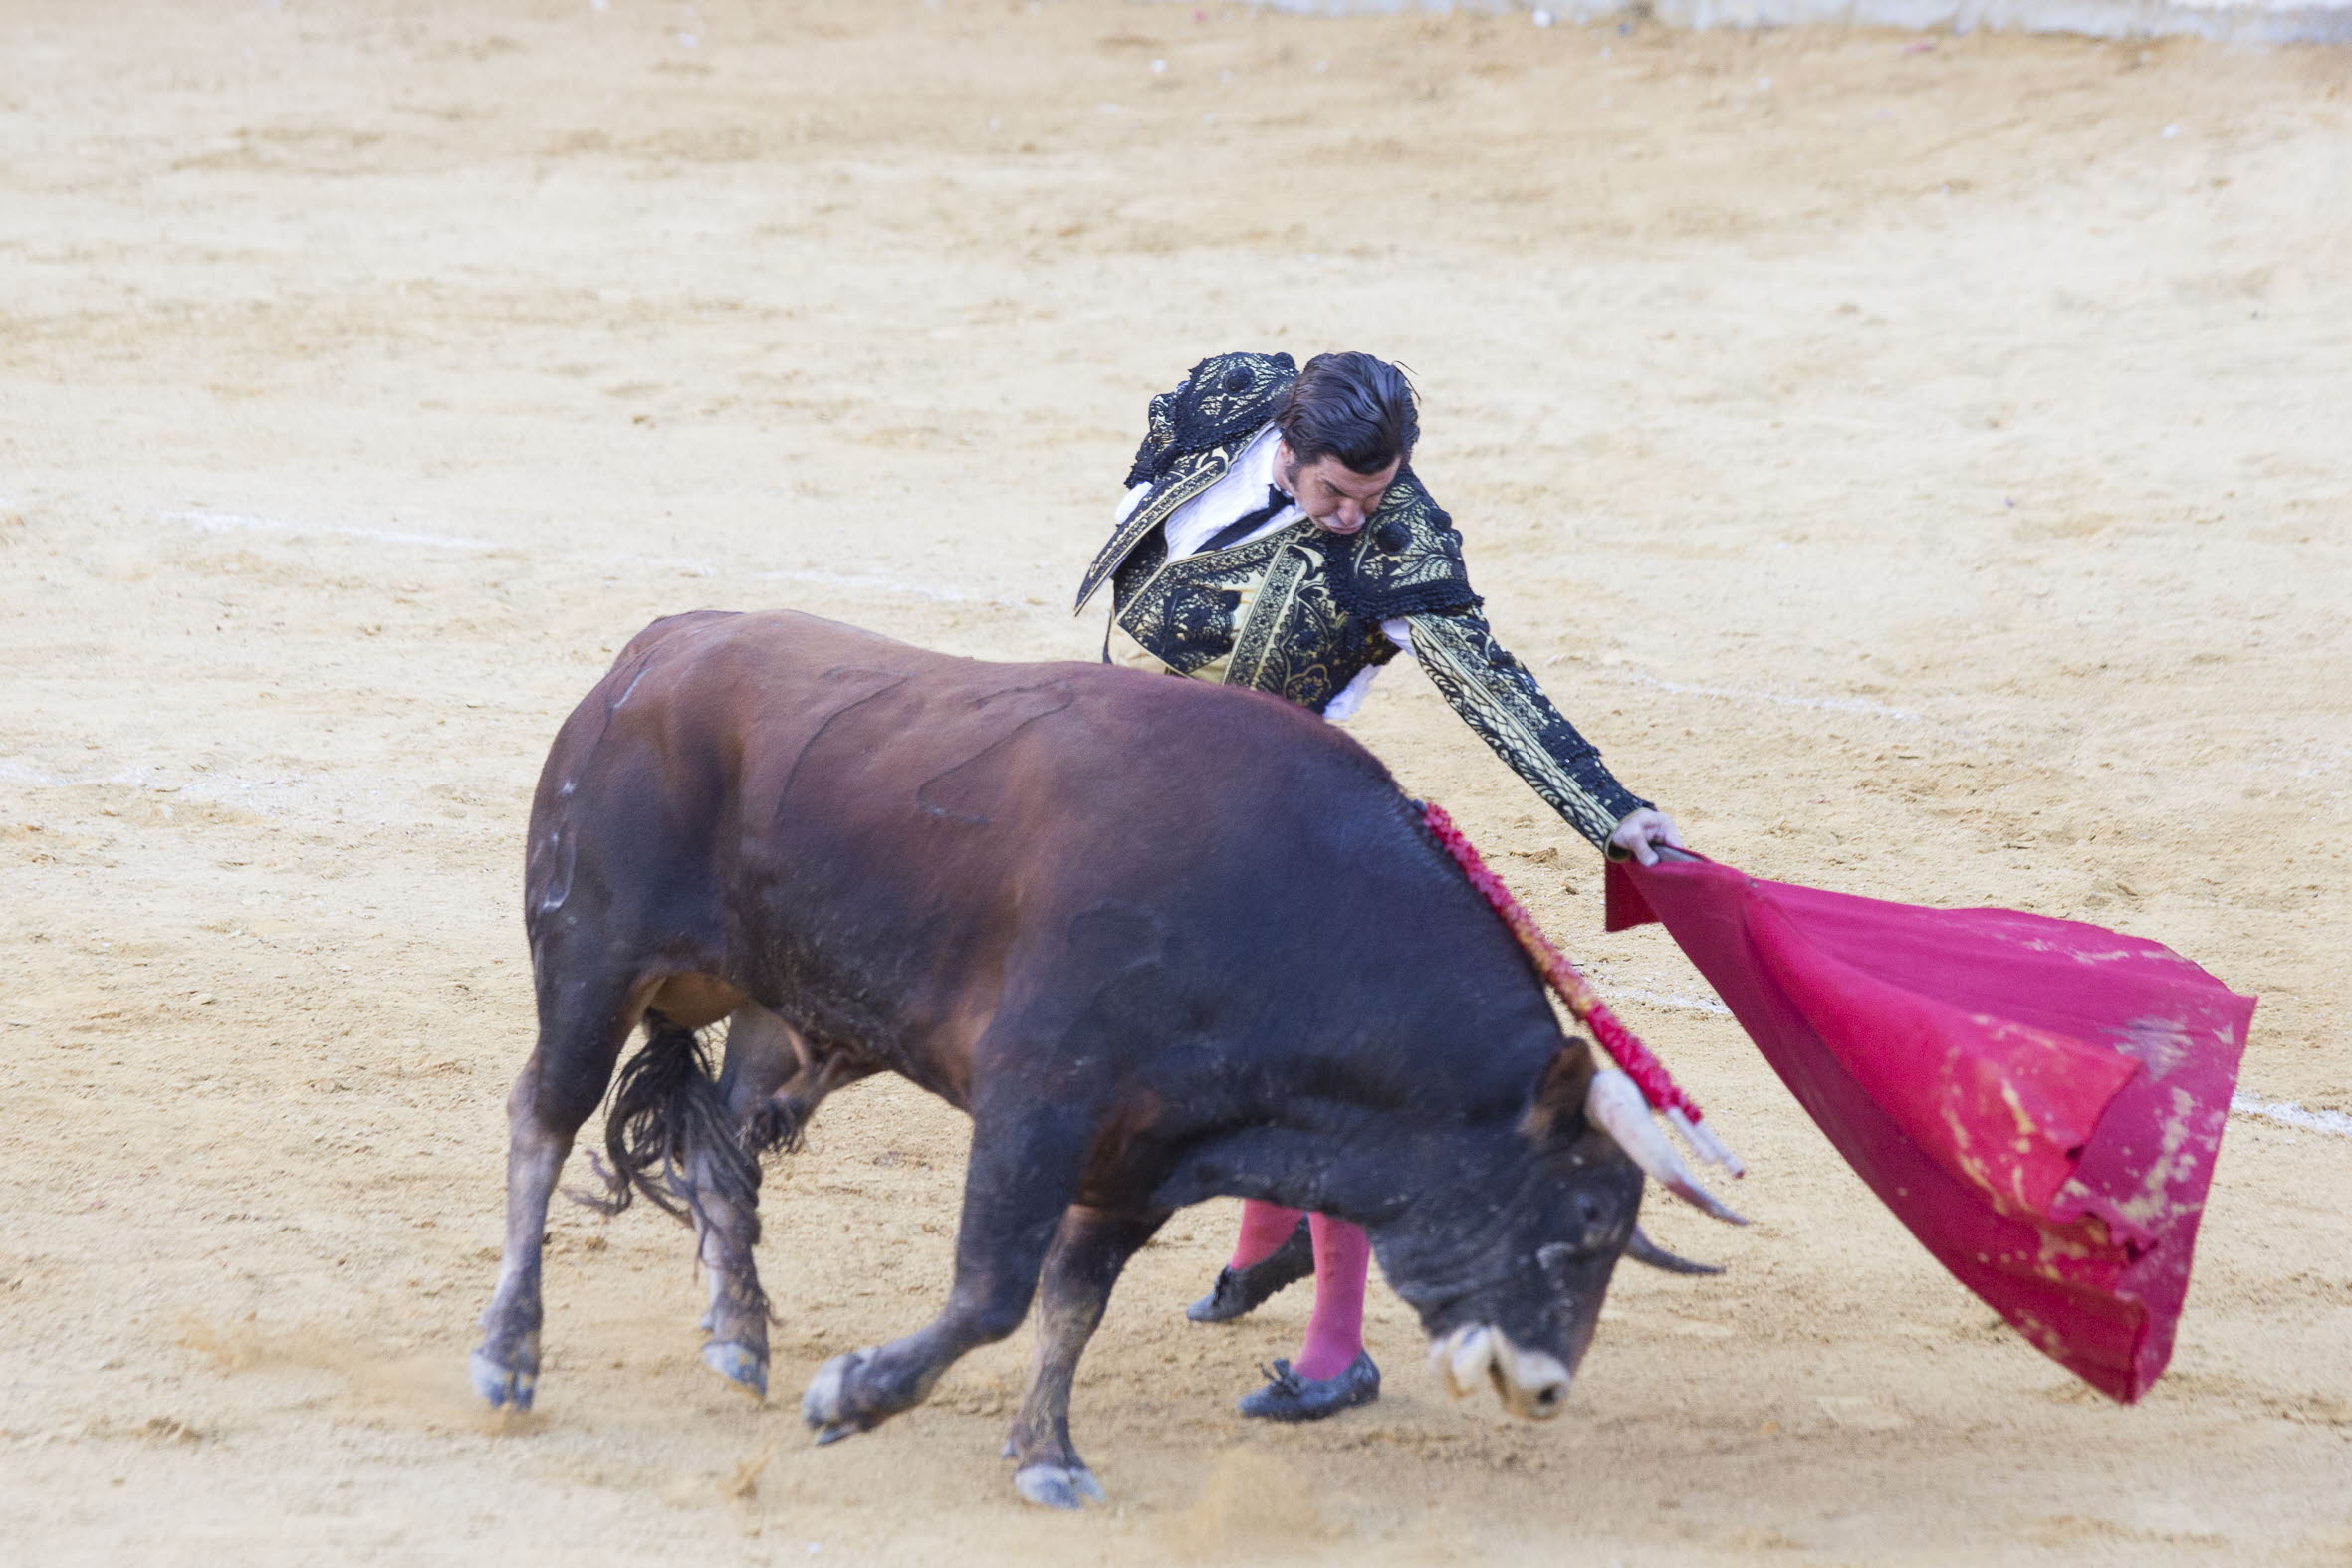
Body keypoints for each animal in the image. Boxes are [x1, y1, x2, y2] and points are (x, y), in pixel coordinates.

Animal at [468, 610, 1740, 1504]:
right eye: (1584, 1222)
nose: (1546, 1387)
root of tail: (654, 652)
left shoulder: (1143, 1159)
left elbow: (1069, 1301)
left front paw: (1045, 1454)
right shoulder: (1037, 1104)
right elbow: (991, 1291)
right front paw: (855, 1396)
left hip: (766, 1004)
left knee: (725, 1151)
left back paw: (739, 1338)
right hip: (589, 958)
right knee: (543, 1119)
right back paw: (508, 1357)